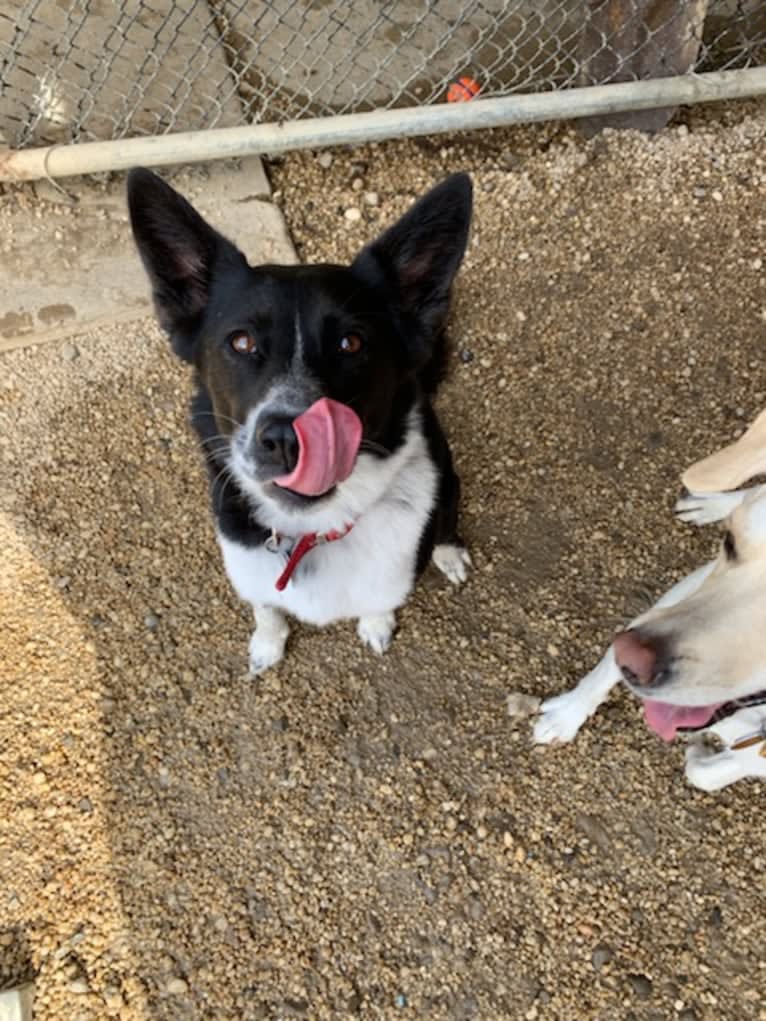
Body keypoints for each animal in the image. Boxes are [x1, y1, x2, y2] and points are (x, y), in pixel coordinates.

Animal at [127, 169, 473, 669]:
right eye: (241, 342)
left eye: (351, 343)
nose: (288, 440)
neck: (312, 533)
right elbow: (267, 609)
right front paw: (267, 646)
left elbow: (379, 603)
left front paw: (376, 626)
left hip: (448, 483)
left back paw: (448, 554)